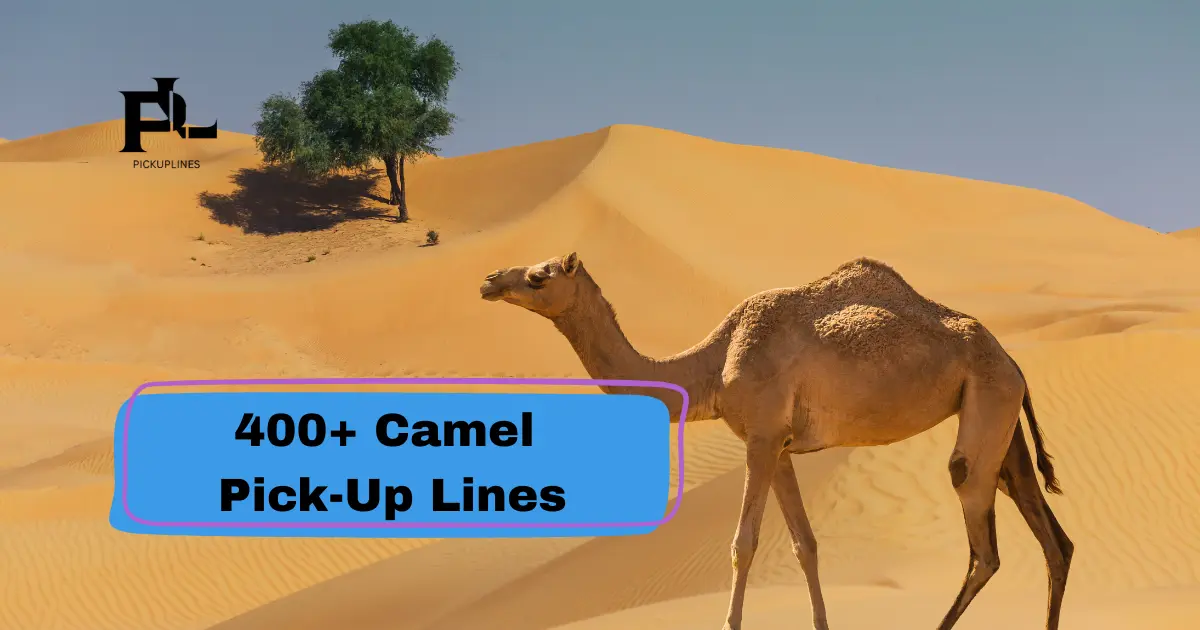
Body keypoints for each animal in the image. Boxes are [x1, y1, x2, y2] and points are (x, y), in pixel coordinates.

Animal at [479, 252, 1073, 630]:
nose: (488, 280)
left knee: (983, 544)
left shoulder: (762, 437)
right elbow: (805, 545)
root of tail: (1013, 360)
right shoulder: (781, 447)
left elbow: (743, 544)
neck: (713, 365)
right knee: (1053, 539)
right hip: (1000, 413)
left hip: (988, 402)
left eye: (539, 276)